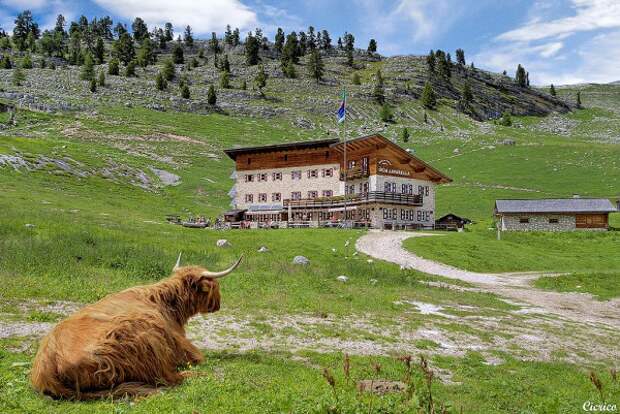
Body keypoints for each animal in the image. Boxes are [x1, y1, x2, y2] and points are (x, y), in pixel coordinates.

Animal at [30, 254, 242, 400]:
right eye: (216, 286)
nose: (218, 305)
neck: (166, 303)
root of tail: (46, 368)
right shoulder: (180, 343)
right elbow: (199, 356)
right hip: (145, 336)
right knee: (168, 378)